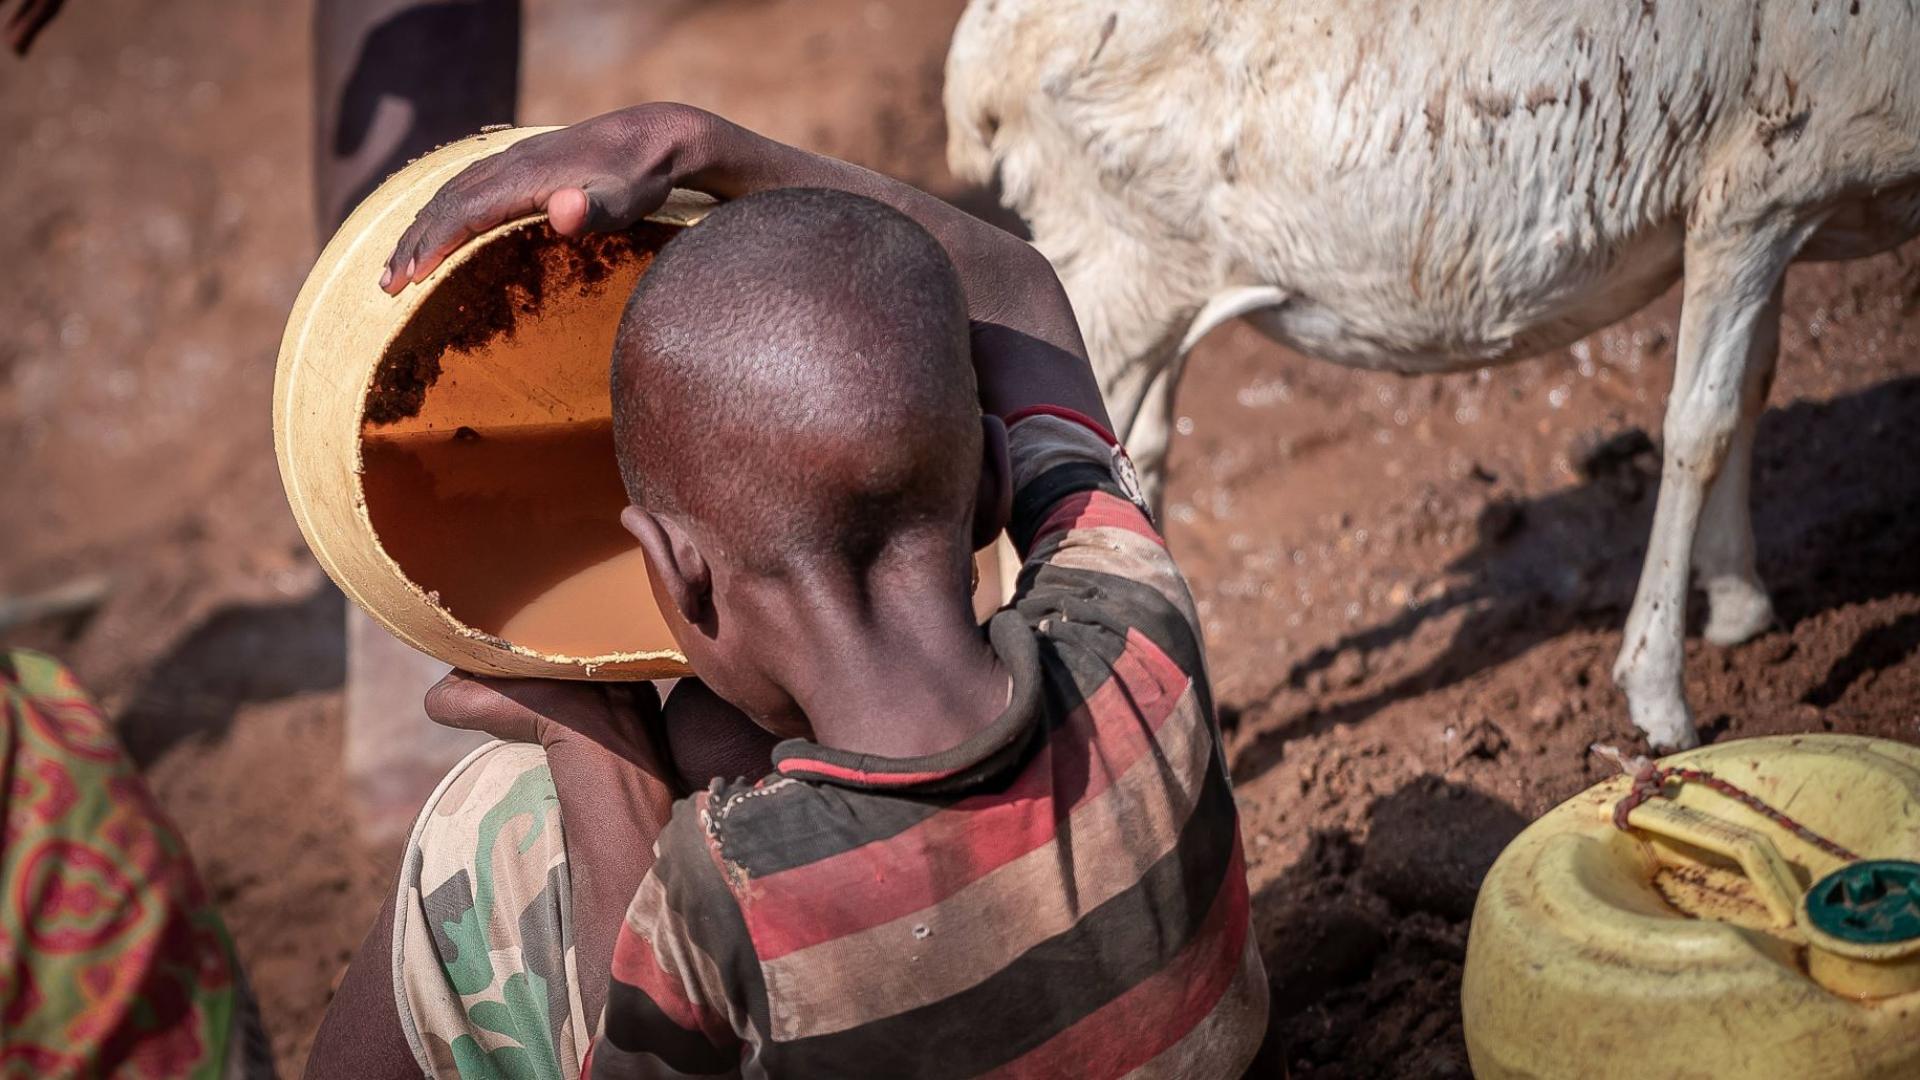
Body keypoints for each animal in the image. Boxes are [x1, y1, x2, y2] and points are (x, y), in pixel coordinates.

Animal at [952, 0, 1920, 745]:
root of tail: (981, 59)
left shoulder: (1778, 217)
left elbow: (1753, 385)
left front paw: (1740, 602)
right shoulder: (1753, 190)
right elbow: (1700, 424)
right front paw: (1659, 697)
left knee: (1128, 455)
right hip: (1112, 265)